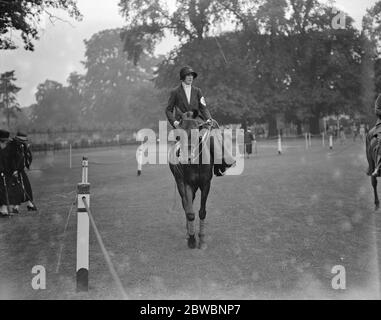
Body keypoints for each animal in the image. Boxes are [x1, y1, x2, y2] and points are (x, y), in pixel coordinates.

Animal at [169, 110, 217, 250]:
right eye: (178, 135)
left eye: (196, 131)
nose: (186, 158)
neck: (196, 163)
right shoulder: (187, 184)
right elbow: (190, 212)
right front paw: (191, 240)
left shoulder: (206, 184)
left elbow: (202, 212)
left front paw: (202, 240)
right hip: (180, 183)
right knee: (185, 205)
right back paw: (188, 233)